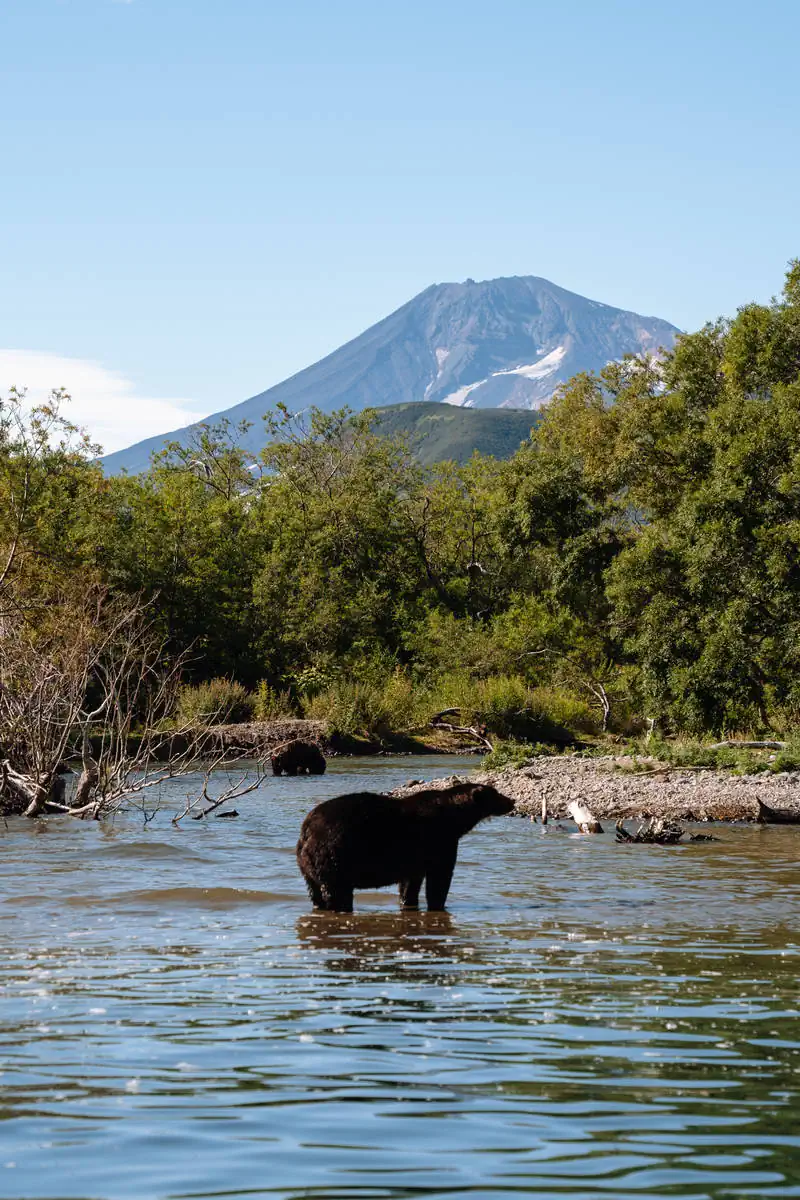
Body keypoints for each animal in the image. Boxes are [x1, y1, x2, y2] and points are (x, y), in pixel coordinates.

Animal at [293, 777, 513, 907]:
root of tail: (307, 829)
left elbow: (410, 883)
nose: (512, 801)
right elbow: (439, 878)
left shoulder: (413, 857)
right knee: (337, 890)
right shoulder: (439, 840)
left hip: (305, 863)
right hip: (334, 853)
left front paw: (408, 902)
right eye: (496, 793)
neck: (454, 818)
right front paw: (438, 904)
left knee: (314, 890)